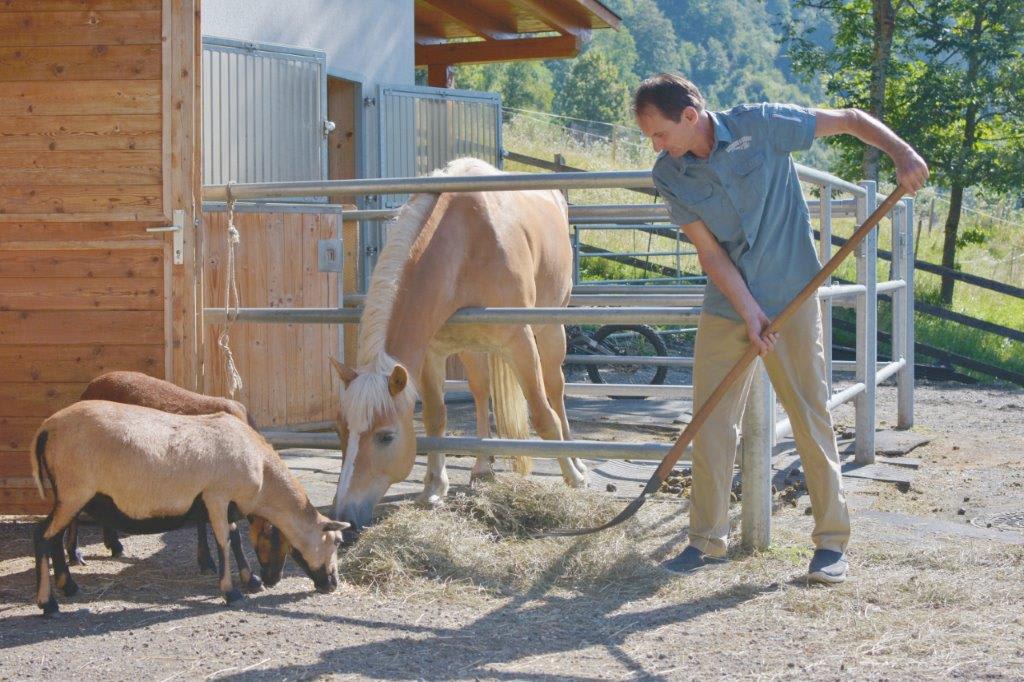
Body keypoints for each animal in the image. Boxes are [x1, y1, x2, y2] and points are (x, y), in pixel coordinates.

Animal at [30, 399, 347, 614]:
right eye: (337, 541)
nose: (332, 584)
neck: (264, 474)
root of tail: (46, 427)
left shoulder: (224, 503)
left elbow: (234, 538)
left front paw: (251, 581)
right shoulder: (216, 496)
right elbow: (223, 541)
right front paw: (231, 592)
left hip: (70, 496)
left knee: (54, 538)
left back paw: (69, 586)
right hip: (74, 491)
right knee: (42, 536)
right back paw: (48, 603)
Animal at [67, 371, 276, 593]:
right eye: (273, 535)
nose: (272, 579)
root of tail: (90, 387)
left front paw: (206, 561)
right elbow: (230, 532)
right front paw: (250, 579)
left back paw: (114, 545)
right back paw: (75, 554)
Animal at [329, 157, 587, 531]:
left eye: (386, 436)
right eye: (341, 429)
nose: (342, 518)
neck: (464, 242)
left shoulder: (520, 340)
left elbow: (543, 416)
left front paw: (573, 477)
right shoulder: (430, 354)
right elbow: (436, 417)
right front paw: (434, 488)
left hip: (551, 331)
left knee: (555, 390)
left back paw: (578, 462)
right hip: (471, 347)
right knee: (481, 390)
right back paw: (481, 467)